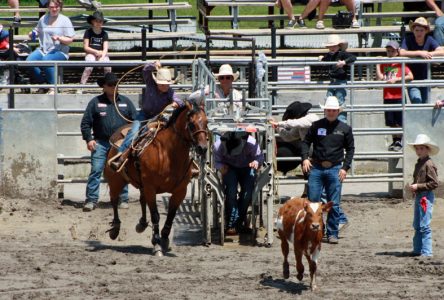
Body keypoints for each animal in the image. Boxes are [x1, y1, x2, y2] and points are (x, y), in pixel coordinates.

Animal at [104, 100, 208, 255]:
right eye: (191, 124)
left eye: (206, 122)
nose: (203, 148)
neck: (168, 155)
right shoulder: (151, 188)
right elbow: (155, 215)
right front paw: (157, 244)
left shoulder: (180, 191)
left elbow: (171, 215)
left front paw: (164, 239)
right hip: (116, 180)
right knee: (115, 201)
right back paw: (115, 229)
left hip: (141, 184)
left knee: (141, 200)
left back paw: (141, 224)